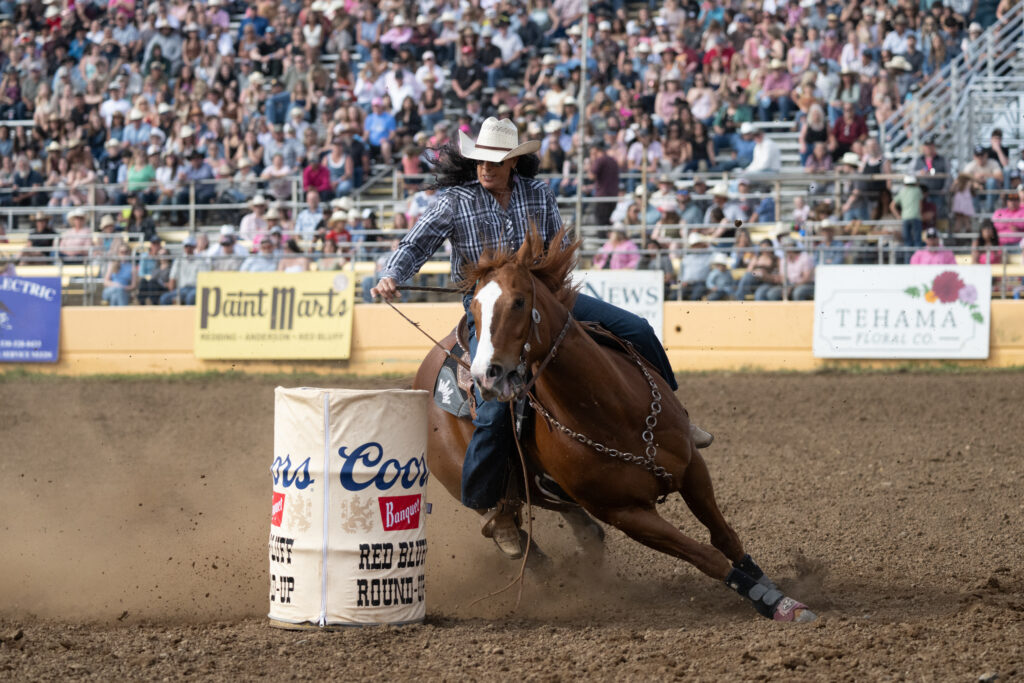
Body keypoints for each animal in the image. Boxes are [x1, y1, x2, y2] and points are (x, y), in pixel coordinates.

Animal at [412, 227, 817, 622]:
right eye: (474, 309)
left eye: (518, 302)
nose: (486, 376)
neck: (613, 413)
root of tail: (429, 366)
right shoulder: (627, 515)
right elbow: (708, 557)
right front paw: (769, 601)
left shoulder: (692, 470)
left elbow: (725, 537)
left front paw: (773, 589)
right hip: (462, 482)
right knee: (509, 531)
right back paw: (523, 549)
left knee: (574, 524)